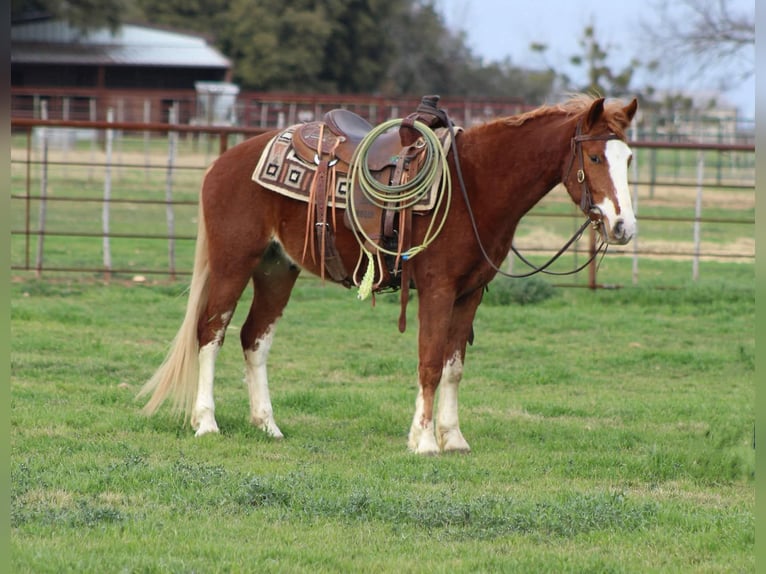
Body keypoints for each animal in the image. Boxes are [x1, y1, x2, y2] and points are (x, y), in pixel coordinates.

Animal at [140, 95, 640, 454]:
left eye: (629, 158)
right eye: (596, 158)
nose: (623, 227)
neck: (474, 187)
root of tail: (225, 163)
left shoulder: (471, 294)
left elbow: (454, 368)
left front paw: (453, 438)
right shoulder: (438, 289)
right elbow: (431, 362)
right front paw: (424, 442)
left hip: (277, 269)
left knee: (254, 338)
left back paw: (268, 426)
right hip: (234, 262)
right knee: (211, 332)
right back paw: (206, 423)